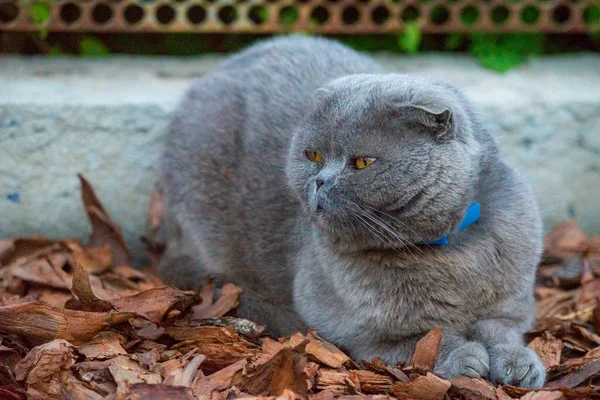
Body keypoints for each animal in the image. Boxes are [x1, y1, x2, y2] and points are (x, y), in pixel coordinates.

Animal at [157, 35, 548, 388]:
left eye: (362, 163)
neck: (449, 254)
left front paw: (519, 364)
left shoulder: (513, 305)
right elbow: (424, 341)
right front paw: (465, 357)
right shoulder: (357, 332)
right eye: (313, 155)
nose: (320, 180)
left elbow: (501, 331)